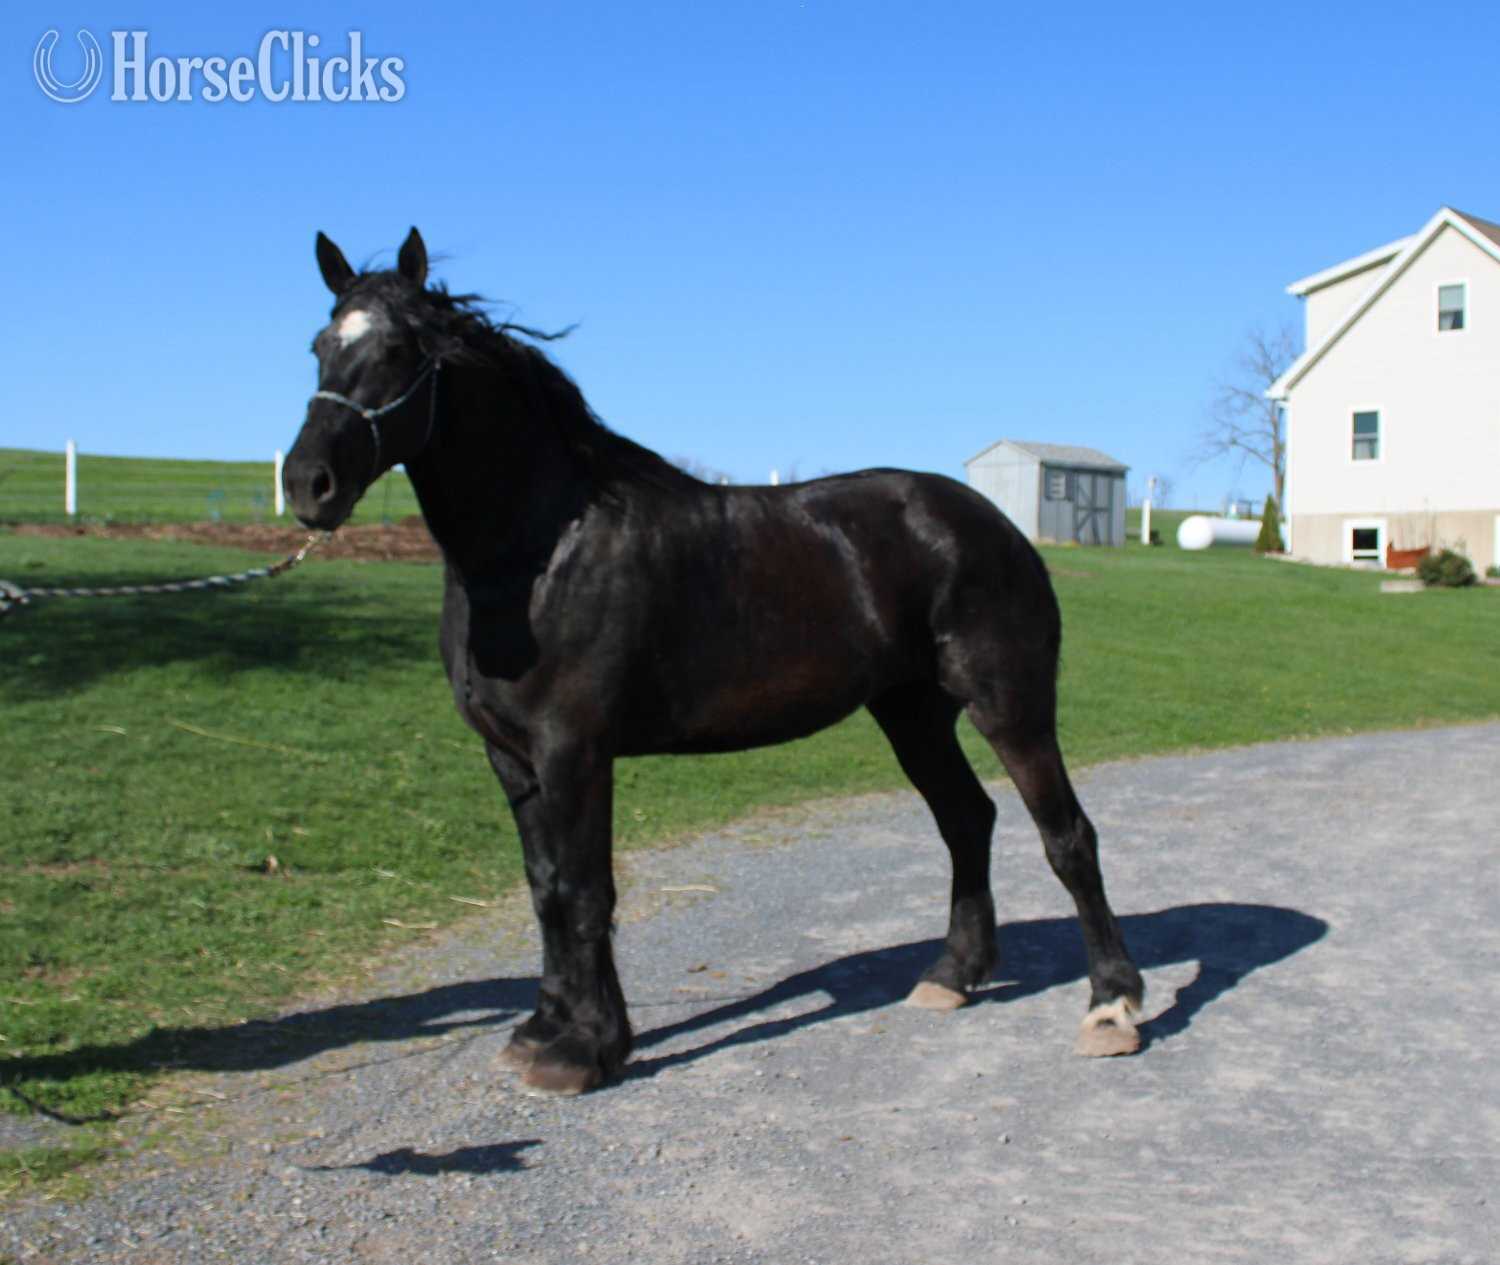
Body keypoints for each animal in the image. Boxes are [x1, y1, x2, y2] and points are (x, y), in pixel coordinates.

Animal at [282, 228, 1144, 1095]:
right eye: (320, 346)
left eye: (399, 350)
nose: (307, 484)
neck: (539, 553)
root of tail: (995, 525)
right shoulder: (512, 758)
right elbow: (546, 888)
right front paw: (547, 1028)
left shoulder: (574, 751)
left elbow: (586, 891)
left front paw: (585, 1048)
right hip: (912, 713)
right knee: (966, 819)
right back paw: (952, 974)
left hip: (1009, 706)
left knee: (1068, 836)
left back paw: (1112, 1005)